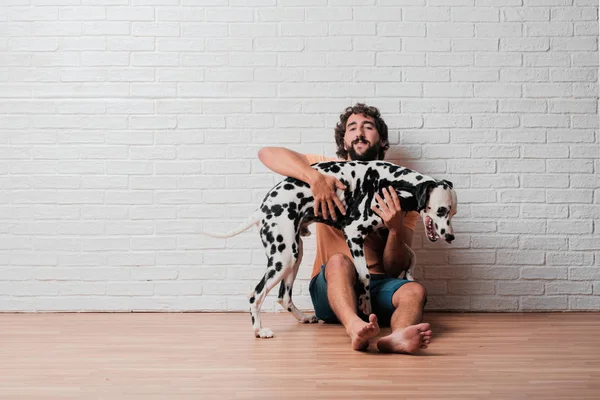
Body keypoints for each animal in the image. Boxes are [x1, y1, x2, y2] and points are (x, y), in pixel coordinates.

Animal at [203, 159, 460, 338]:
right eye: (441, 210)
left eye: (453, 213)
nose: (450, 236)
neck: (391, 182)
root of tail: (263, 209)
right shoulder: (354, 233)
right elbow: (365, 275)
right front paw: (365, 302)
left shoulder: (385, 230)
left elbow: (410, 253)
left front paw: (409, 273)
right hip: (284, 258)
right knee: (255, 295)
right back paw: (259, 331)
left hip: (295, 255)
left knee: (283, 297)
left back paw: (303, 319)